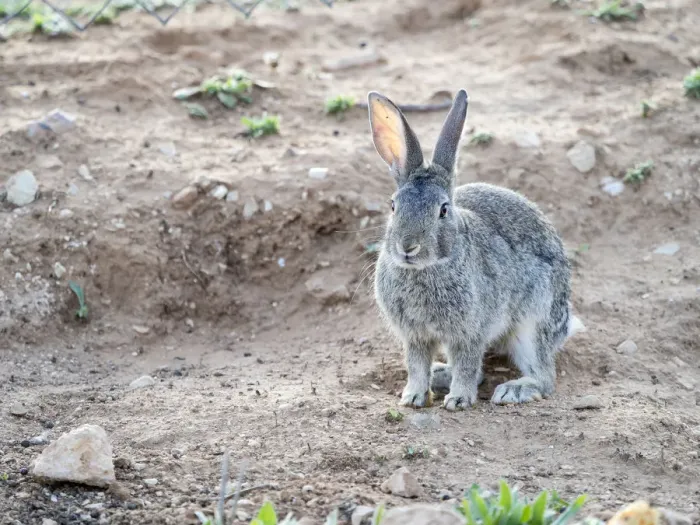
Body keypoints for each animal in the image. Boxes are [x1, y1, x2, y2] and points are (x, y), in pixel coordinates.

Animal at [367, 89, 584, 410]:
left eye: (443, 210)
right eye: (393, 206)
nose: (407, 247)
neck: (426, 268)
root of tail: (563, 326)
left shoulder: (469, 333)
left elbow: (467, 365)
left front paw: (458, 400)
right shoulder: (415, 336)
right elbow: (416, 366)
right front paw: (413, 397)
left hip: (534, 324)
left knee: (545, 378)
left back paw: (513, 390)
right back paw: (440, 373)